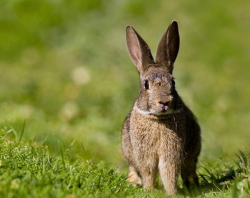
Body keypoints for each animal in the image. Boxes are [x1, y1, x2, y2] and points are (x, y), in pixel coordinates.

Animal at [121, 20, 201, 195]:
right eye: (146, 84)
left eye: (173, 82)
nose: (164, 102)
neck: (158, 118)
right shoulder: (144, 154)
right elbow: (148, 171)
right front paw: (149, 190)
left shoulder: (172, 153)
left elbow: (169, 171)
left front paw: (172, 193)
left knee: (189, 167)